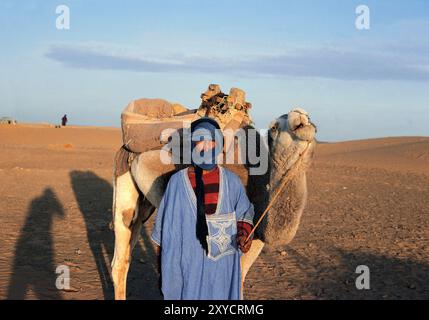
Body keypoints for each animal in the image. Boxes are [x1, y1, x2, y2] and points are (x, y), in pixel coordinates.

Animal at [110, 105, 316, 300]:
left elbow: (240, 280)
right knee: (119, 260)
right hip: (124, 188)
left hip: (144, 207)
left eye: (308, 116)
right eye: (274, 127)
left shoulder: (254, 241)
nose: (300, 116)